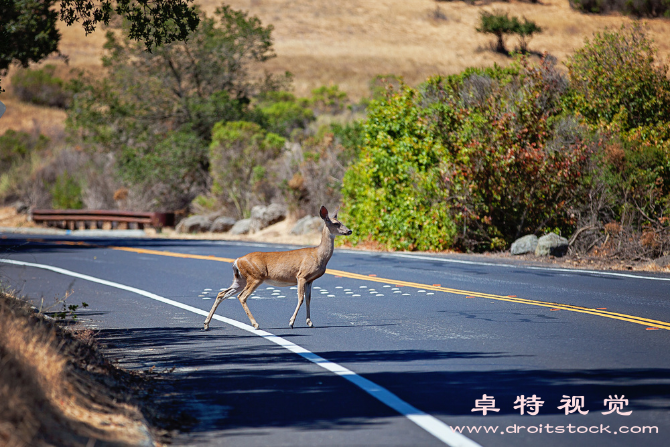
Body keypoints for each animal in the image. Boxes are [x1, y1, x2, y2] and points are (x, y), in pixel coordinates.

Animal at [203, 205, 352, 330]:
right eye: (336, 223)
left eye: (341, 222)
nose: (349, 231)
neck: (318, 254)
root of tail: (237, 260)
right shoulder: (301, 276)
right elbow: (301, 298)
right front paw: (291, 322)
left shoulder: (310, 280)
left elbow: (308, 299)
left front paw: (310, 322)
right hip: (255, 276)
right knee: (242, 296)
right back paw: (255, 324)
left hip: (240, 279)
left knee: (222, 293)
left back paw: (206, 324)